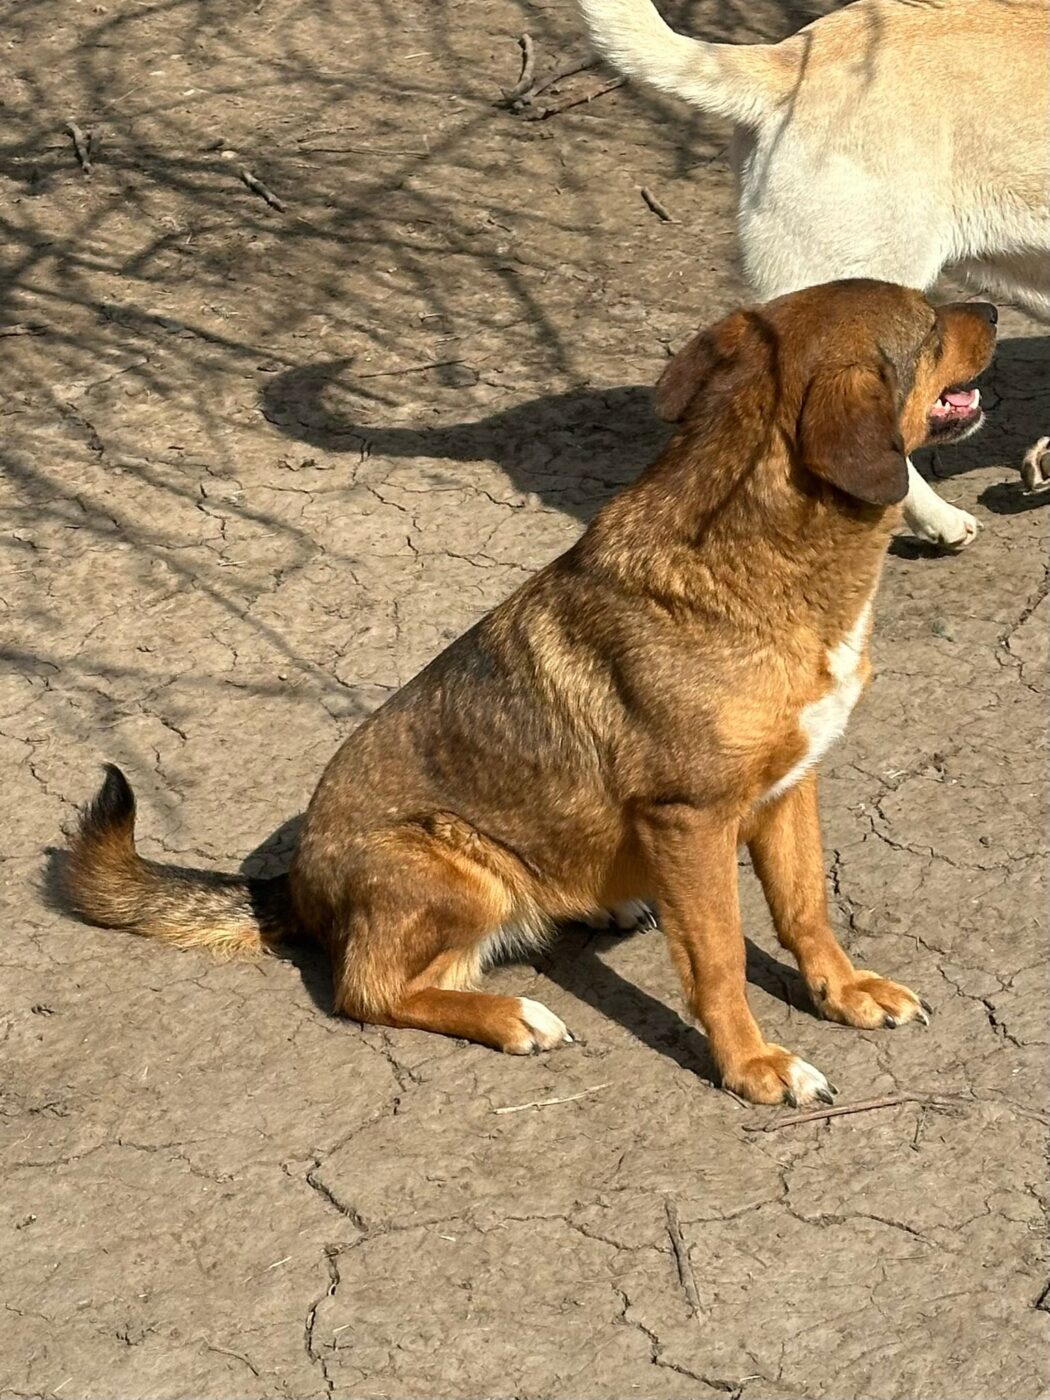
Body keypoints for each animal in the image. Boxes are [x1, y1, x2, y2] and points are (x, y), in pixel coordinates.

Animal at [61, 280, 997, 1107]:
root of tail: (292, 884)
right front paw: (753, 1063)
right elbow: (722, 960)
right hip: (455, 869)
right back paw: (511, 1015)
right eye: (929, 325)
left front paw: (844, 992)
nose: (991, 307)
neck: (758, 565)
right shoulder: (689, 819)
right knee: (368, 992)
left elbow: (806, 909)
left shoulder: (790, 787)